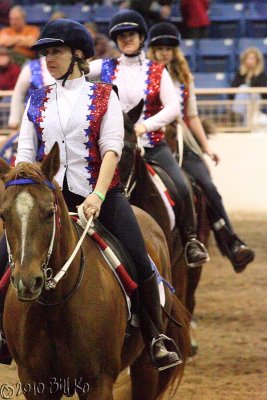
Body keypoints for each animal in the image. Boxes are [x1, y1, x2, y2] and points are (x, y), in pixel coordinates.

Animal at [0, 144, 191, 400]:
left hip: (145, 367)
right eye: (3, 215)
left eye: (49, 213)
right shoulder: (35, 382)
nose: (27, 282)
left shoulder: (97, 382)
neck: (55, 303)